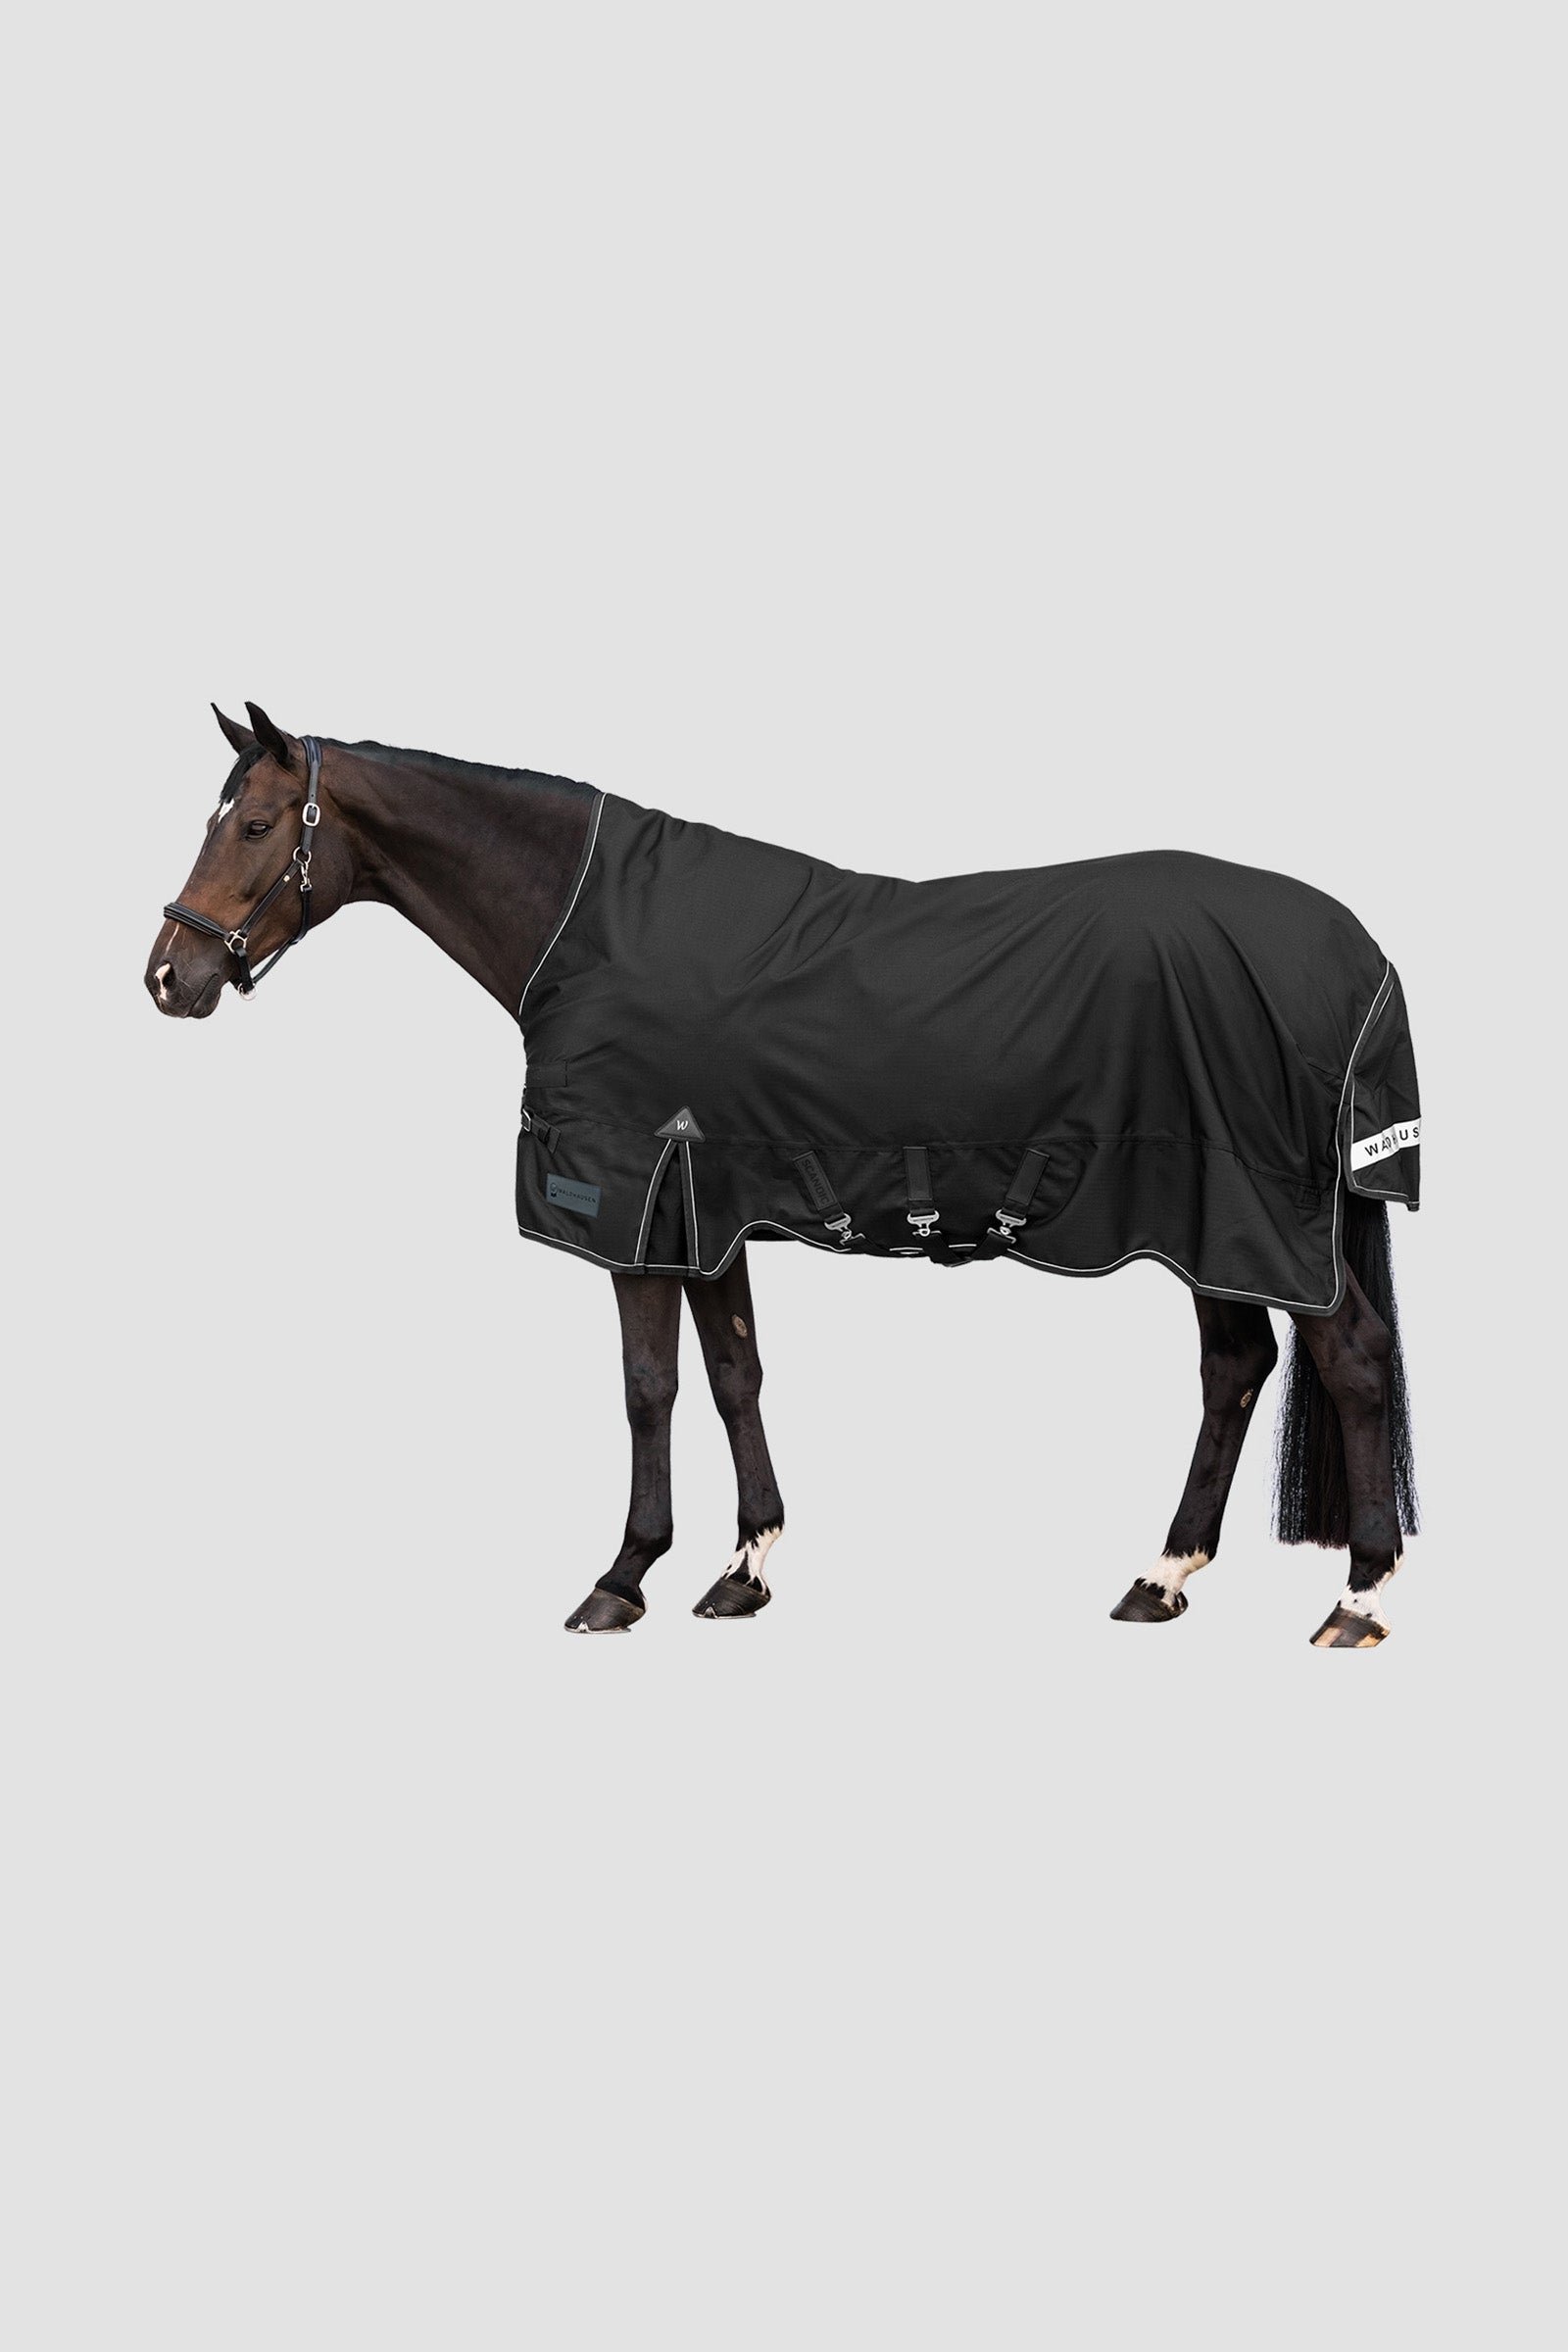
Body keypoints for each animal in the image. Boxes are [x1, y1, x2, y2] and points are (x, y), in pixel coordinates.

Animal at [147, 702, 1420, 1649]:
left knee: (1350, 1359)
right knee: (1236, 1368)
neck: (591, 931)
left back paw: (1355, 1600)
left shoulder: (636, 1210)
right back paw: (1160, 1578)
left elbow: (648, 1388)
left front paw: (621, 1577)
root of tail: (1356, 954)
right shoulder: (707, 1207)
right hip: (1212, 1225)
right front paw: (742, 1567)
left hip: (1253, 1216)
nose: (167, 976)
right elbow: (733, 1377)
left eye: (252, 825)